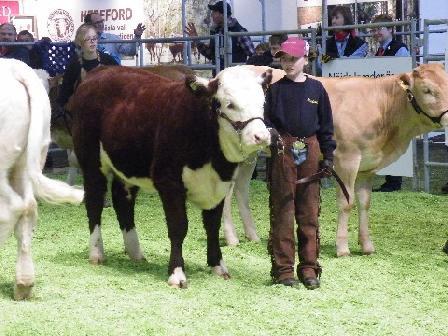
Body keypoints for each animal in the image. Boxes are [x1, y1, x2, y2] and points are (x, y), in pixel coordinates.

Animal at [72, 66, 272, 288]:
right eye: (230, 104)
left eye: (262, 103)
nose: (261, 137)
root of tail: (100, 71)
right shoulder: (169, 182)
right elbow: (178, 227)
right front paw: (177, 274)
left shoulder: (219, 185)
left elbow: (212, 226)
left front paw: (218, 266)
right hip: (91, 162)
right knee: (94, 203)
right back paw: (97, 253)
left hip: (128, 166)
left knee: (122, 201)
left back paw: (136, 253)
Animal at [224, 64, 448, 256]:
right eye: (427, 90)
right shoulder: (346, 161)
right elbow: (347, 203)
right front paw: (342, 248)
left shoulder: (367, 168)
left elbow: (365, 203)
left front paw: (367, 246)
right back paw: (231, 238)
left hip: (250, 155)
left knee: (241, 188)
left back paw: (252, 235)